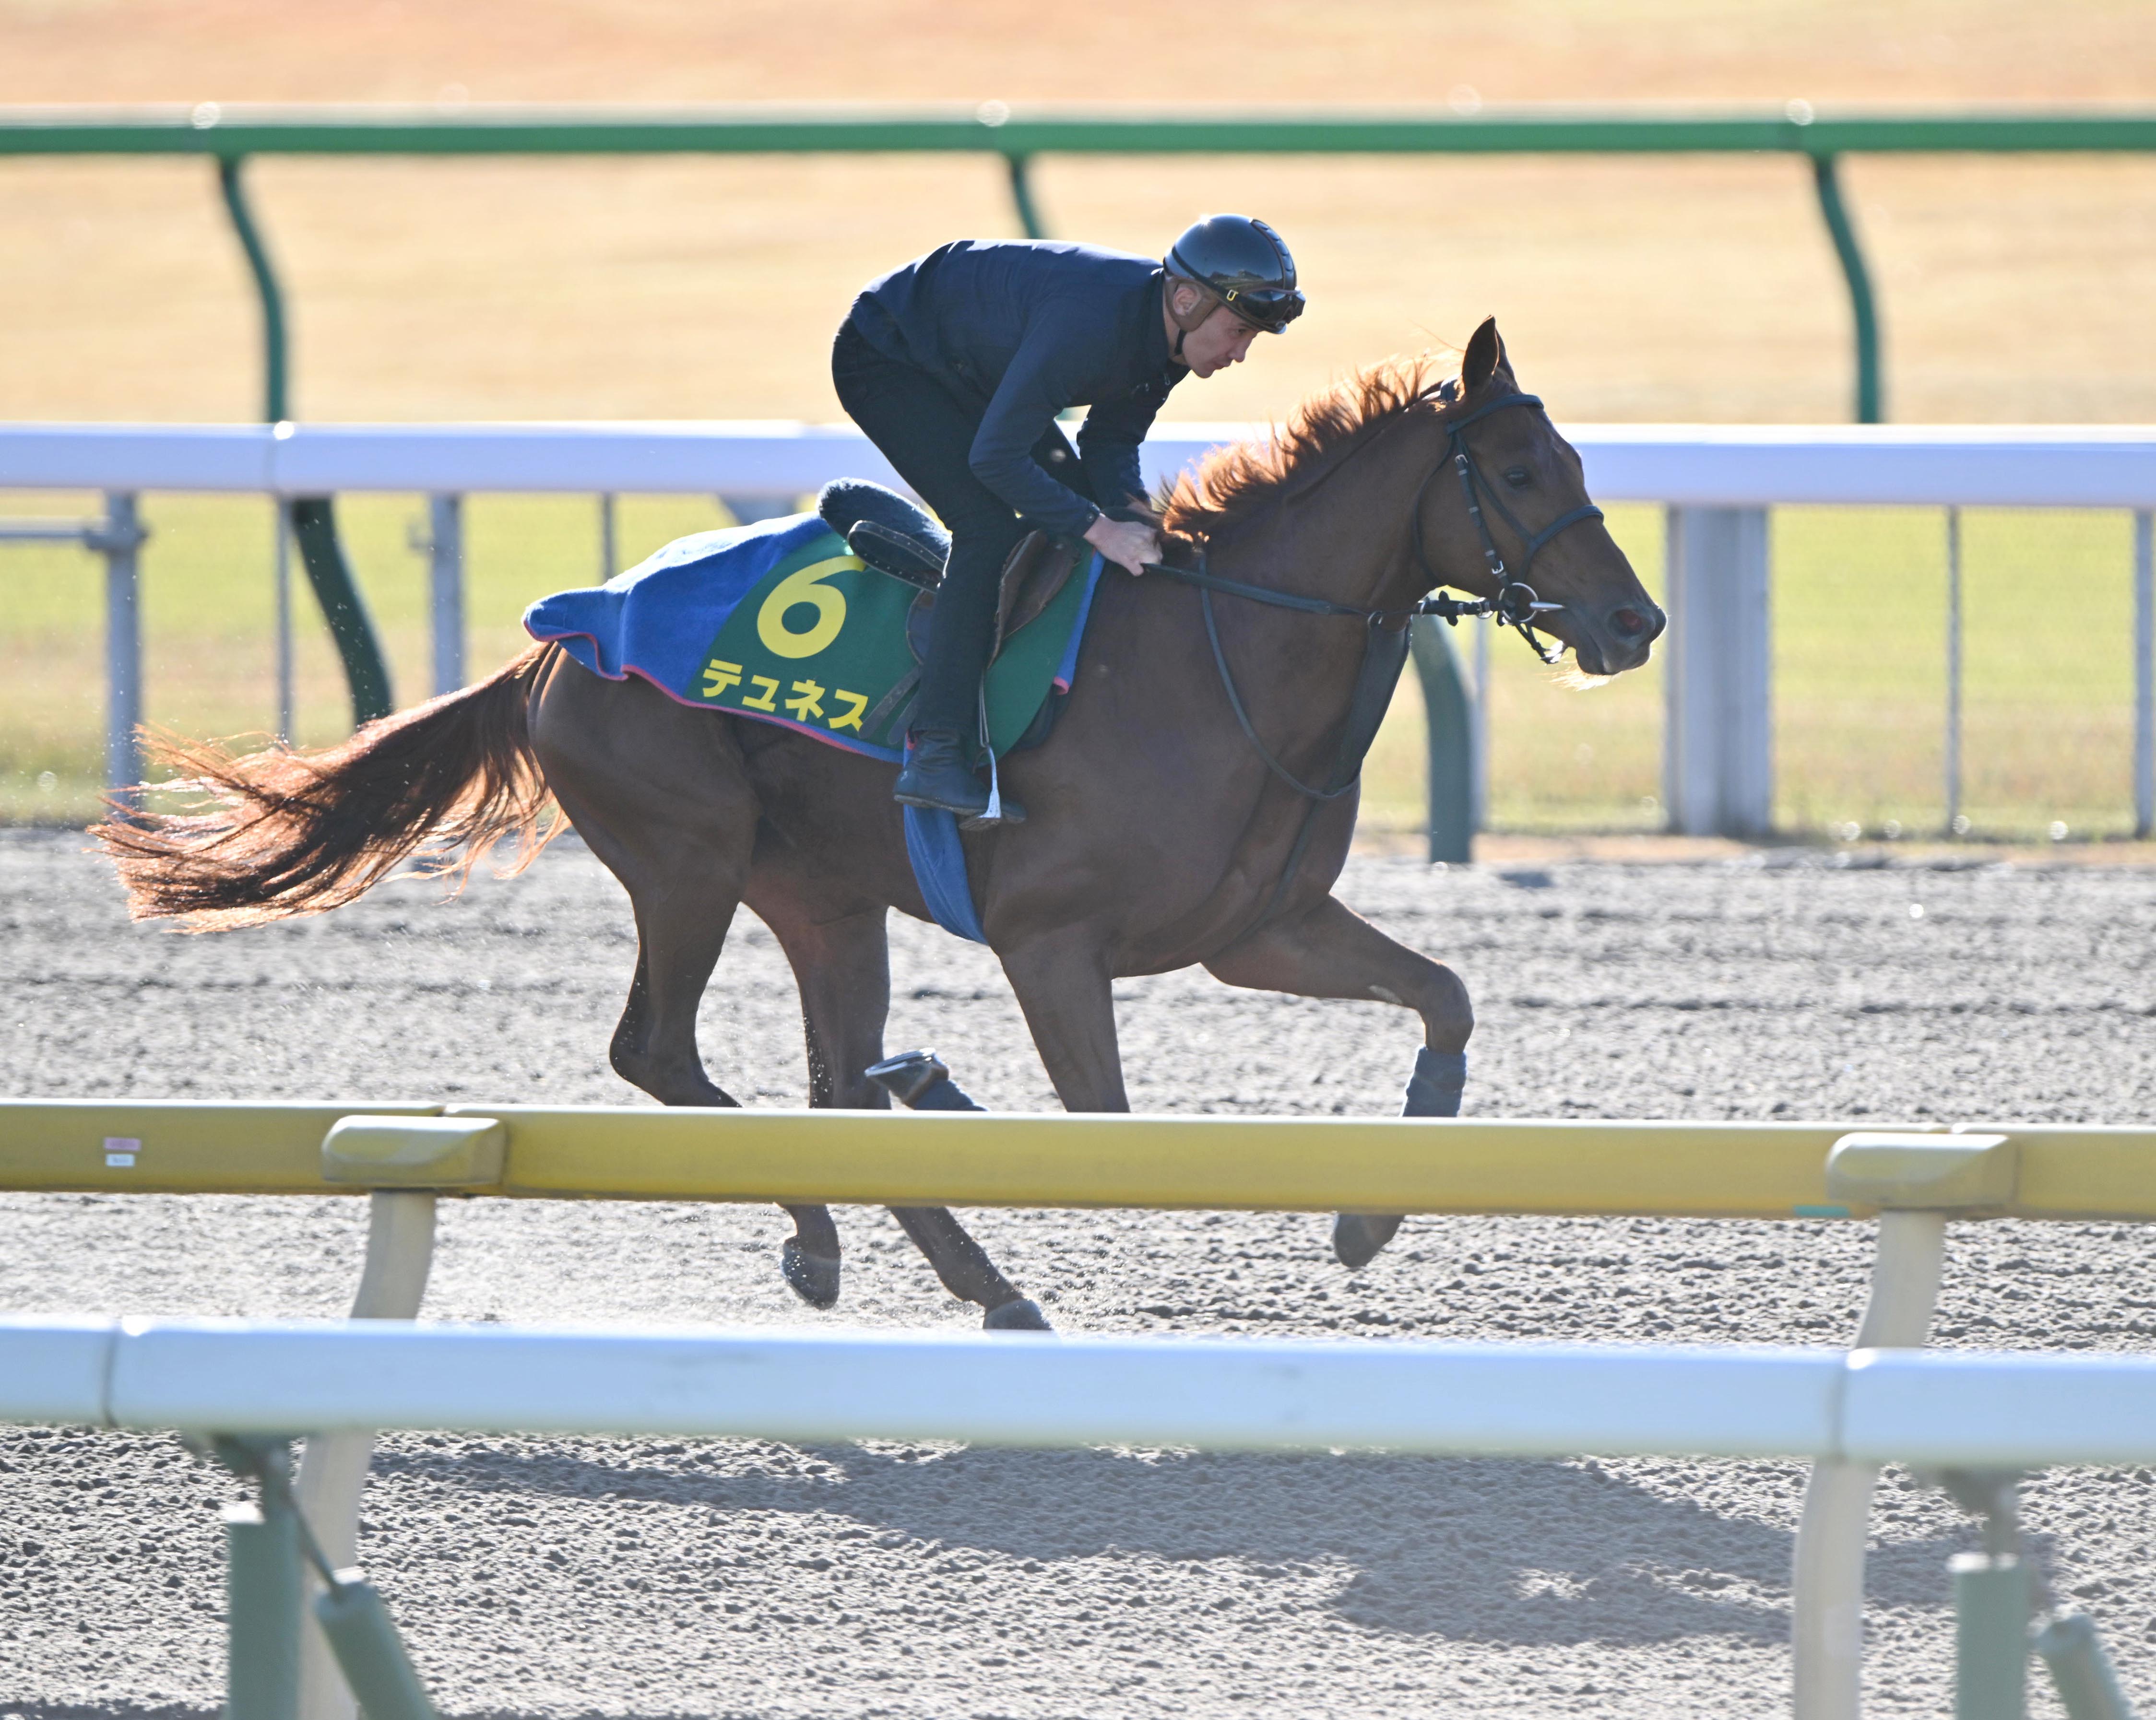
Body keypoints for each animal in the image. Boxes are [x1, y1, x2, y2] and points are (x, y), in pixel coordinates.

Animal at [97, 318, 1664, 1330]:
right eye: (1519, 473)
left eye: (1582, 462)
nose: (1632, 622)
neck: (1220, 655)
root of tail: (559, 639)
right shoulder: (1051, 942)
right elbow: (1108, 1122)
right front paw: (951, 1090)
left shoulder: (1258, 929)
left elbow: (1444, 996)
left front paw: (1369, 1210)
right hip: (690, 857)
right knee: (667, 1055)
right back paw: (892, 1223)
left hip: (826, 898)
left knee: (819, 1084)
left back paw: (942, 1261)